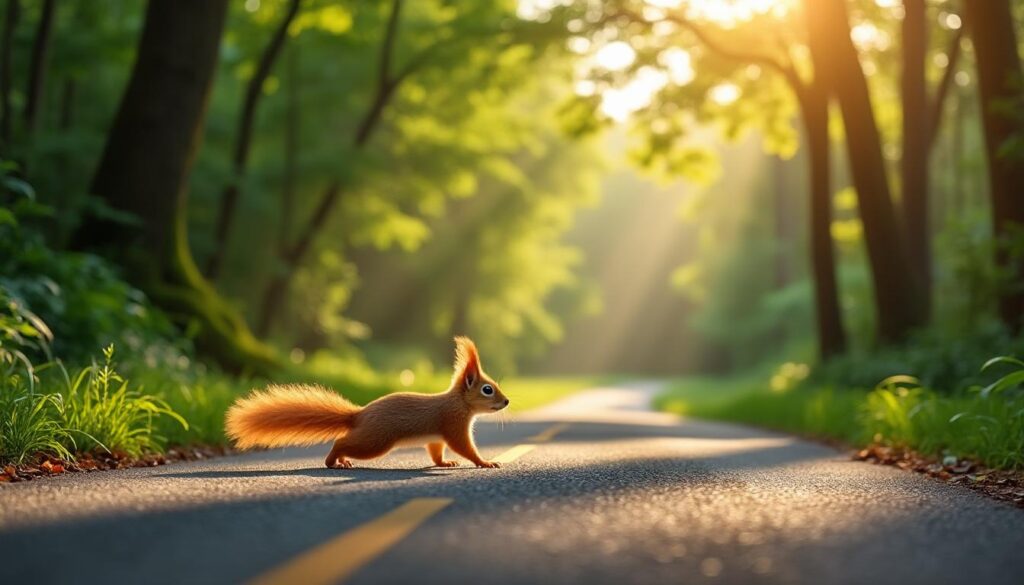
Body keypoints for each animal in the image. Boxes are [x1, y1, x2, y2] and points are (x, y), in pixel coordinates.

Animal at [225, 336, 510, 469]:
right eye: (487, 389)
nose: (506, 401)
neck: (460, 403)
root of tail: (359, 415)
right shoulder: (453, 423)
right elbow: (464, 447)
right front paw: (485, 462)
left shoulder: (437, 436)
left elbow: (436, 451)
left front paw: (445, 463)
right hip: (376, 441)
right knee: (342, 442)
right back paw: (333, 461)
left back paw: (341, 461)